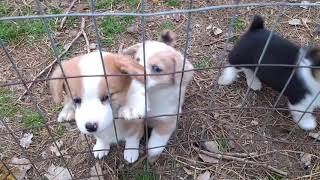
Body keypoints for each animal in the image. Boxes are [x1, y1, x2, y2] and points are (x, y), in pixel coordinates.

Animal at [121, 30, 194, 162]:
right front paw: (131, 152)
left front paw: (150, 158)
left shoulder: (167, 122)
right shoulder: (136, 118)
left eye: (156, 68)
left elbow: (155, 146)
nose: (128, 73)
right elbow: (133, 137)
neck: (151, 96)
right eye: (137, 60)